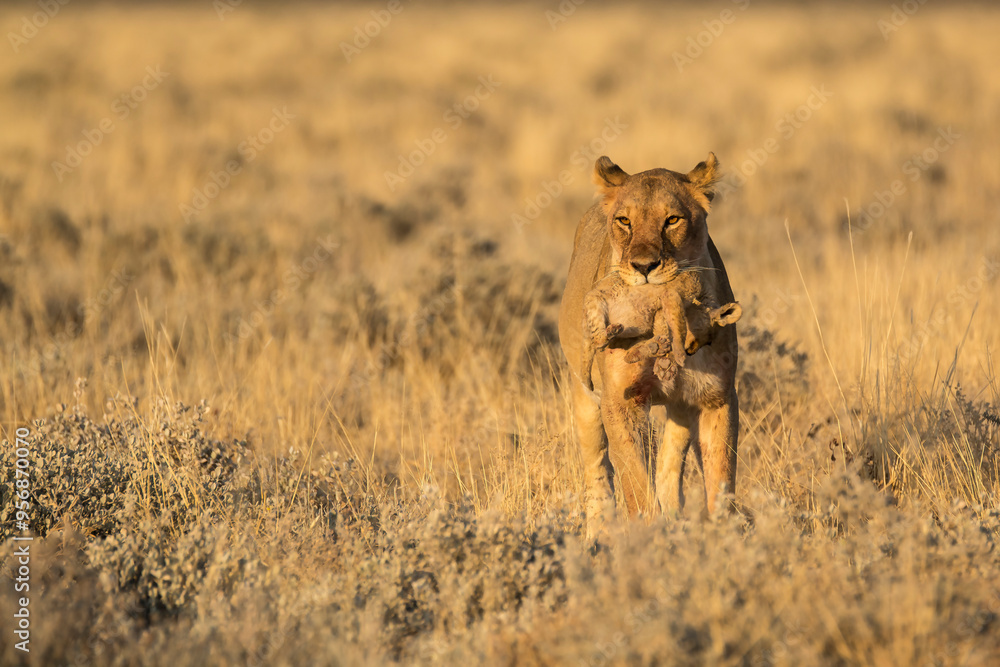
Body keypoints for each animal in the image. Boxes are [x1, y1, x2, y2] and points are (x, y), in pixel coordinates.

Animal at [558, 153, 739, 536]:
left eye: (672, 220)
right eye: (624, 221)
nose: (644, 267)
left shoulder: (718, 398)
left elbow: (720, 478)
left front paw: (722, 537)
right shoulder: (619, 401)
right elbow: (636, 484)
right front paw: (649, 537)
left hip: (682, 405)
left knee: (671, 461)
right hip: (584, 398)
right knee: (598, 472)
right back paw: (596, 535)